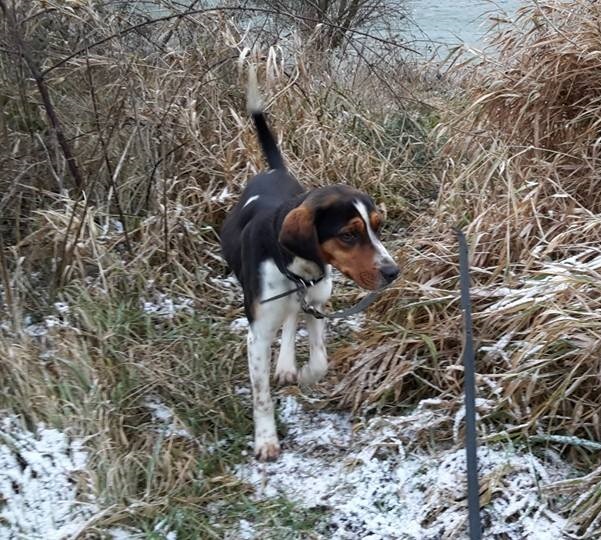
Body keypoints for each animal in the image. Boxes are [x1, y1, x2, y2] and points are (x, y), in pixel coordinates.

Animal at [220, 69, 398, 462]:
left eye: (377, 227)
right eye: (349, 235)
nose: (393, 273)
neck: (295, 267)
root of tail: (274, 172)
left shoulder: (317, 303)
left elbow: (319, 360)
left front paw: (303, 374)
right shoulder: (257, 334)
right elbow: (261, 395)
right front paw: (266, 439)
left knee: (291, 320)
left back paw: (288, 365)